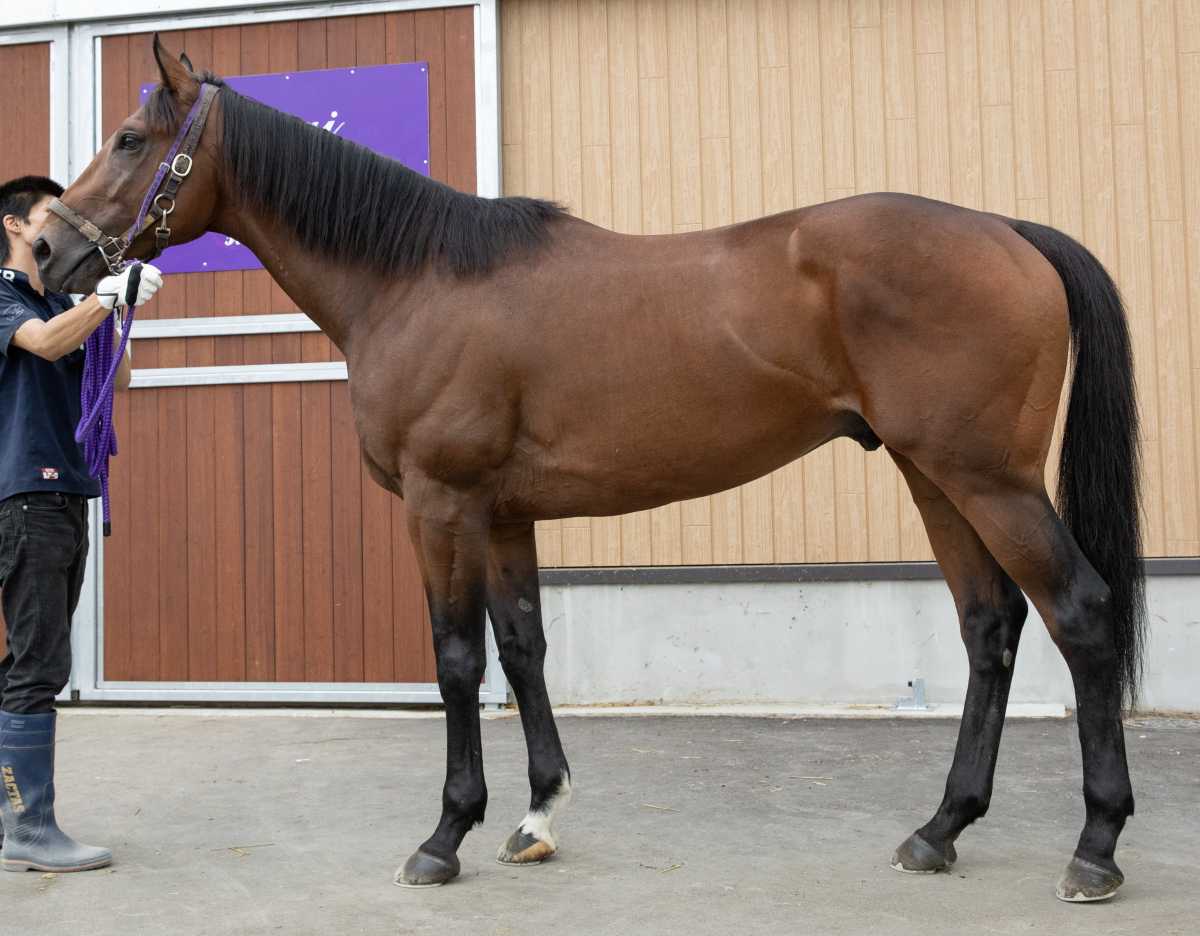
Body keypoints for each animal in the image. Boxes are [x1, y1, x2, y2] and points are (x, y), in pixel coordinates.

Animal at [34, 36, 1145, 902]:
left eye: (128, 140)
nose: (43, 250)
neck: (414, 280)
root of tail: (1009, 232)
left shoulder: (441, 506)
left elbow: (457, 659)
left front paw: (446, 835)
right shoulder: (502, 514)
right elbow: (524, 647)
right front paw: (537, 816)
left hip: (989, 478)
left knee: (1082, 614)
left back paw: (1095, 849)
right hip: (934, 475)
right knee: (990, 628)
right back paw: (940, 829)